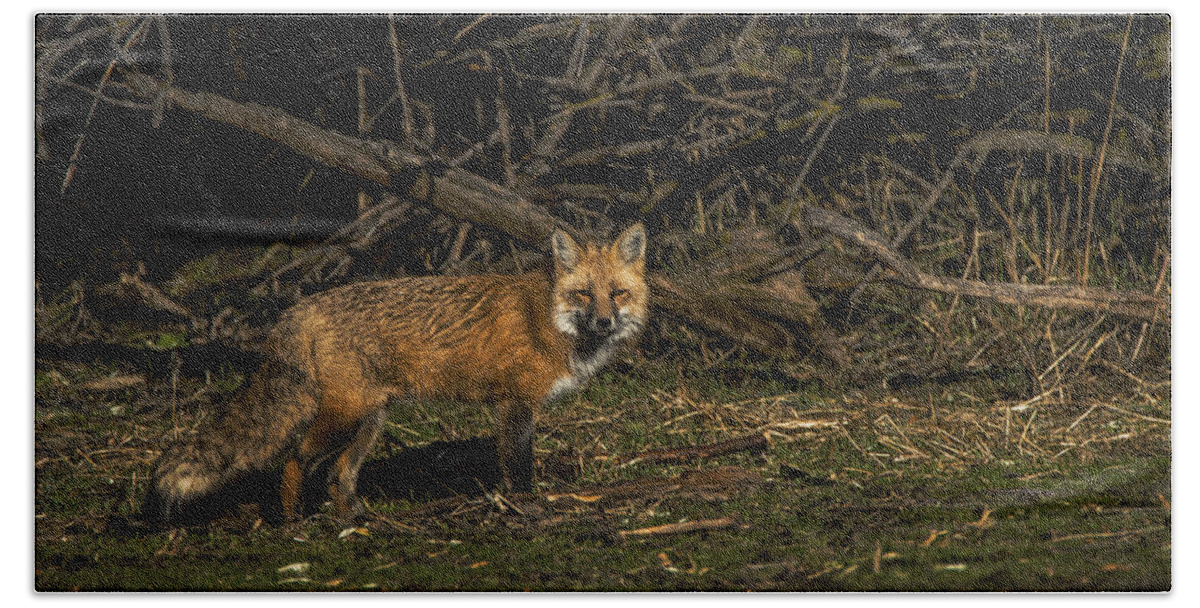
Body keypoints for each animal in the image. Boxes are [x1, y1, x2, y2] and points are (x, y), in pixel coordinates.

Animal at [143, 223, 648, 524]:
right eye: (584, 294)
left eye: (617, 293)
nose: (605, 322)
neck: (548, 320)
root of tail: (301, 308)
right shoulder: (517, 405)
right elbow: (517, 466)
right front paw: (526, 507)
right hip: (344, 417)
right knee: (295, 458)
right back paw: (293, 522)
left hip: (370, 420)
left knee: (339, 475)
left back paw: (354, 519)